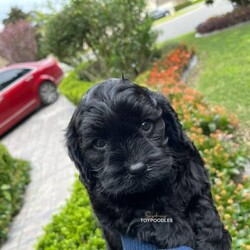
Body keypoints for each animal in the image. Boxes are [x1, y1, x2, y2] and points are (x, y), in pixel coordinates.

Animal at [65, 78, 231, 250]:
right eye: (99, 143)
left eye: (146, 125)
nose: (137, 169)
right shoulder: (104, 203)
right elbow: (137, 214)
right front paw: (181, 235)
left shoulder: (192, 167)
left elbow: (200, 199)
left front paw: (214, 238)